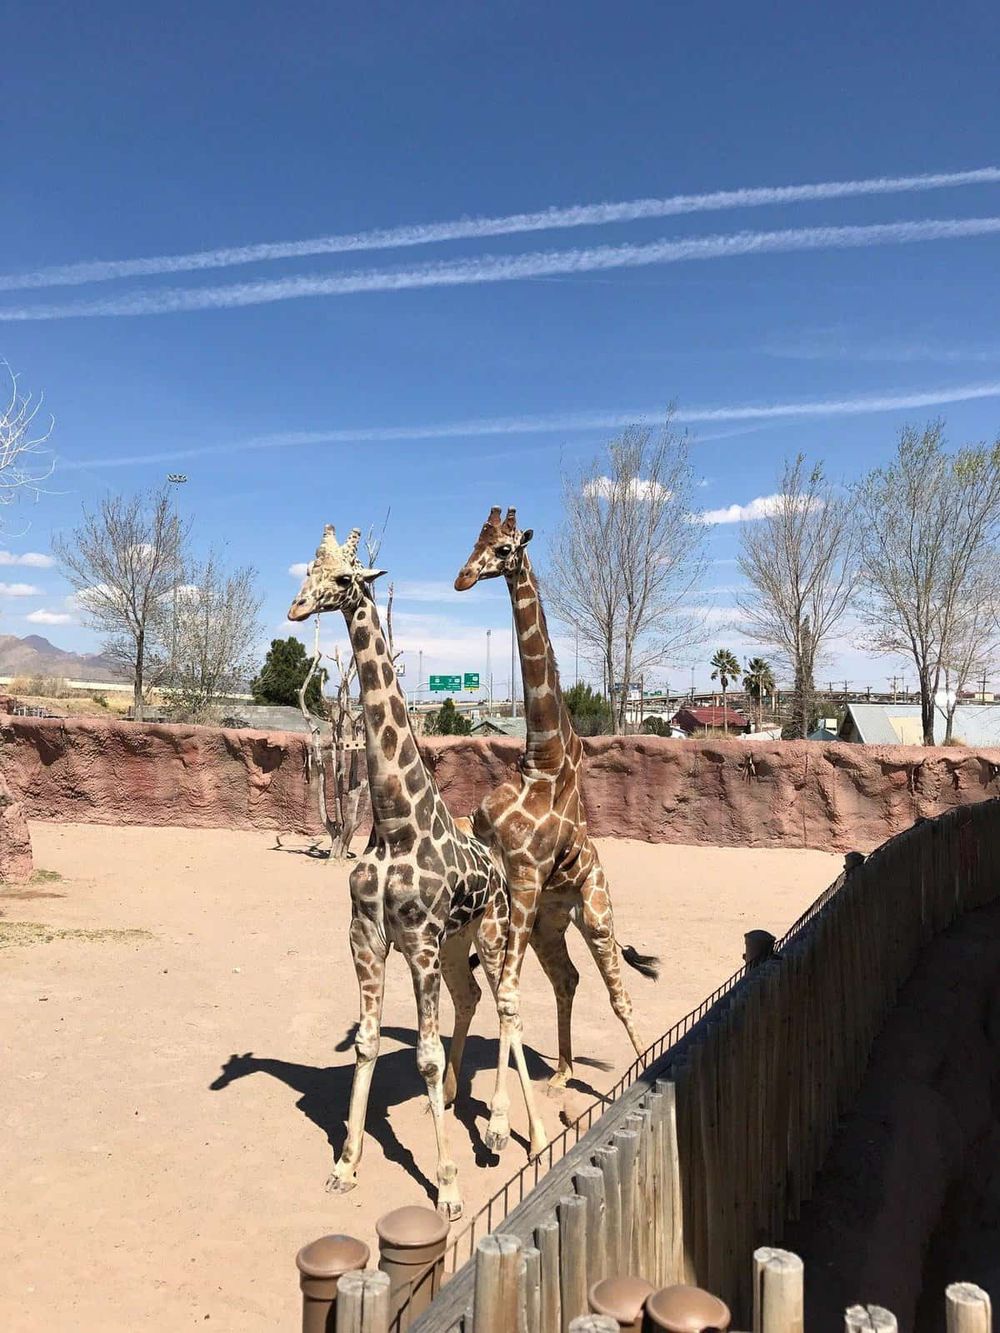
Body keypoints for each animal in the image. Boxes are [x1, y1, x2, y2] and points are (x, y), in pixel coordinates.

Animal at [288, 524, 546, 1218]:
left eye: (343, 578)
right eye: (307, 573)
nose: (297, 609)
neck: (396, 824)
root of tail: (499, 871)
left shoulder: (420, 944)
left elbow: (423, 1056)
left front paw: (449, 1187)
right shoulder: (368, 937)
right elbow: (368, 1041)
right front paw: (346, 1165)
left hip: (490, 932)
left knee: (509, 1006)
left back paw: (523, 1134)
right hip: (458, 944)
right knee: (473, 998)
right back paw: (465, 1105)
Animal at [454, 506, 659, 1146]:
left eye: (502, 549)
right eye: (473, 541)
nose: (462, 578)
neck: (541, 760)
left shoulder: (524, 876)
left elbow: (507, 990)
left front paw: (498, 1122)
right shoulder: (500, 872)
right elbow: (506, 986)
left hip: (594, 912)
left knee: (618, 992)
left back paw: (641, 1064)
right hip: (550, 922)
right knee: (565, 980)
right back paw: (563, 1074)